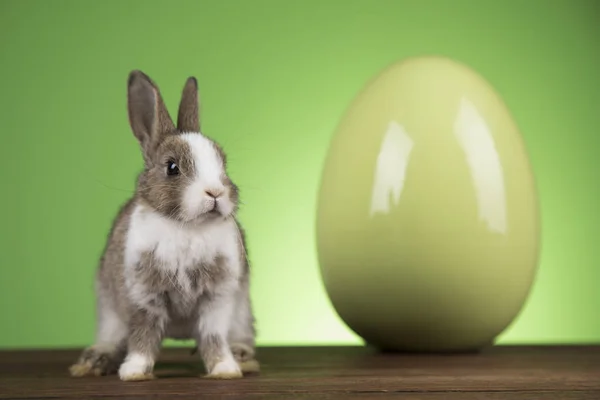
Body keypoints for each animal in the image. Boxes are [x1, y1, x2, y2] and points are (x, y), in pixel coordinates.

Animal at [69, 70, 258, 380]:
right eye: (172, 167)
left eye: (224, 164)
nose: (215, 192)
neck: (187, 227)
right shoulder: (143, 295)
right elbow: (143, 335)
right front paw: (134, 372)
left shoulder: (218, 298)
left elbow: (213, 336)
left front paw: (225, 369)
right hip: (108, 310)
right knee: (112, 337)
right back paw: (93, 360)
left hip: (242, 311)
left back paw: (243, 357)